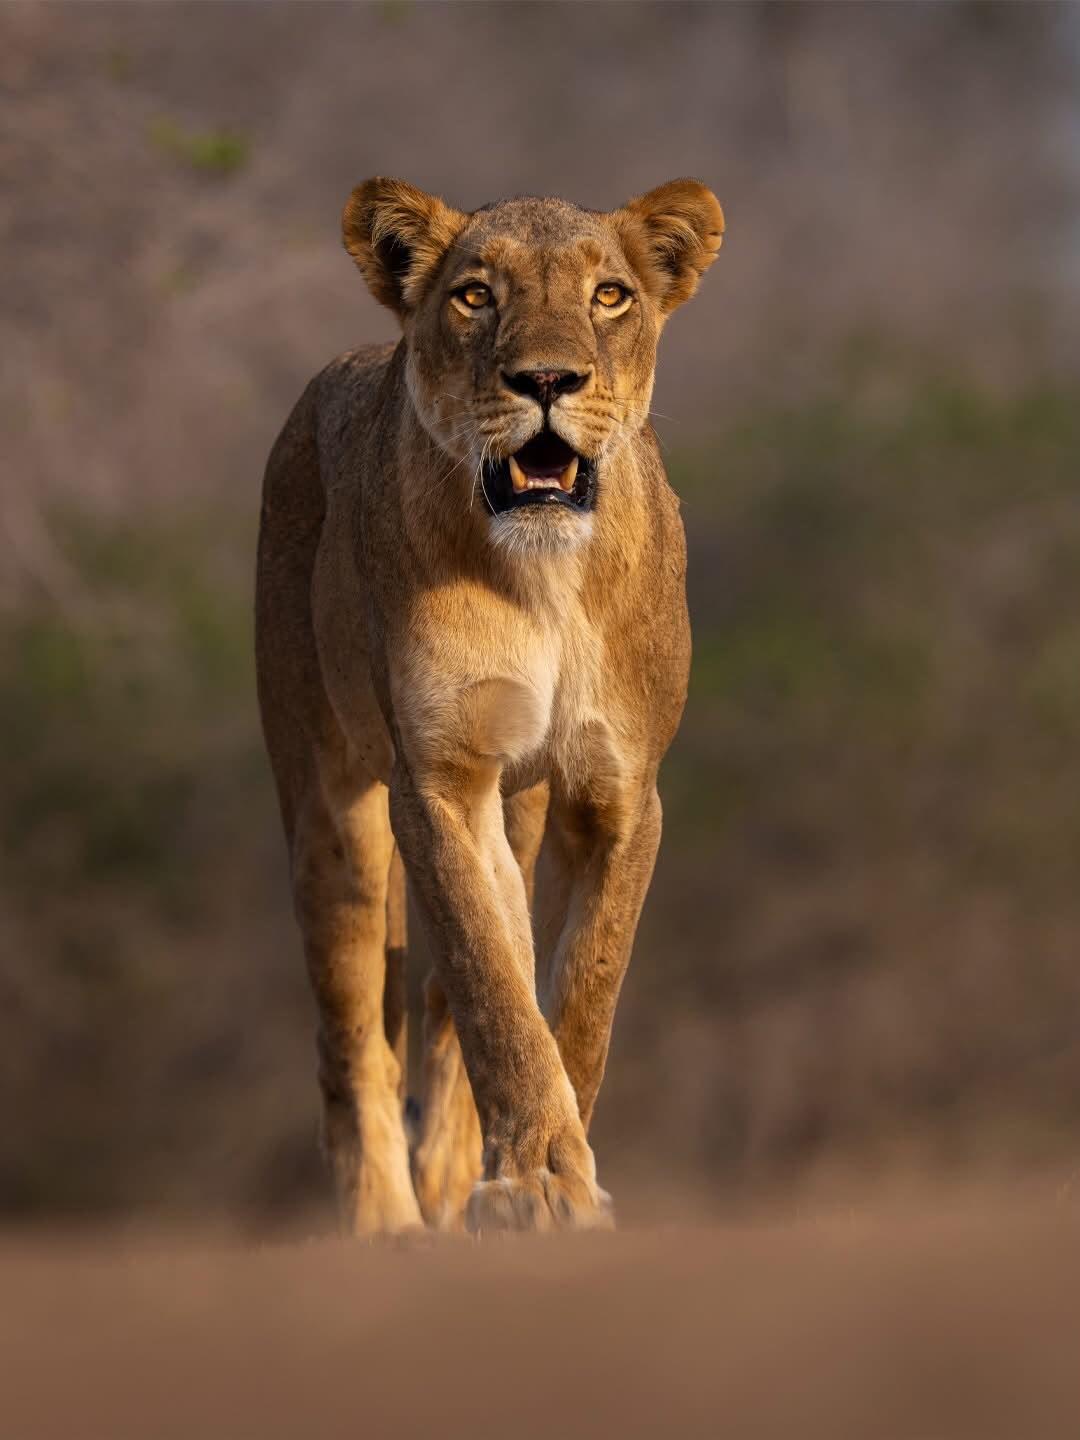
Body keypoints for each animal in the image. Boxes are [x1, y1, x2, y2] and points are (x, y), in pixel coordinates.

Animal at [255, 176, 723, 1234]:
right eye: (475, 296)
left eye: (609, 295)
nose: (546, 380)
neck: (546, 575)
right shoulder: (439, 780)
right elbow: (495, 987)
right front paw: (538, 1180)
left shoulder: (618, 791)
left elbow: (579, 992)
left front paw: (552, 1172)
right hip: (332, 814)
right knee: (354, 1039)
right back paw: (388, 1222)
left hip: (520, 800)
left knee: (434, 1003)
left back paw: (446, 1170)